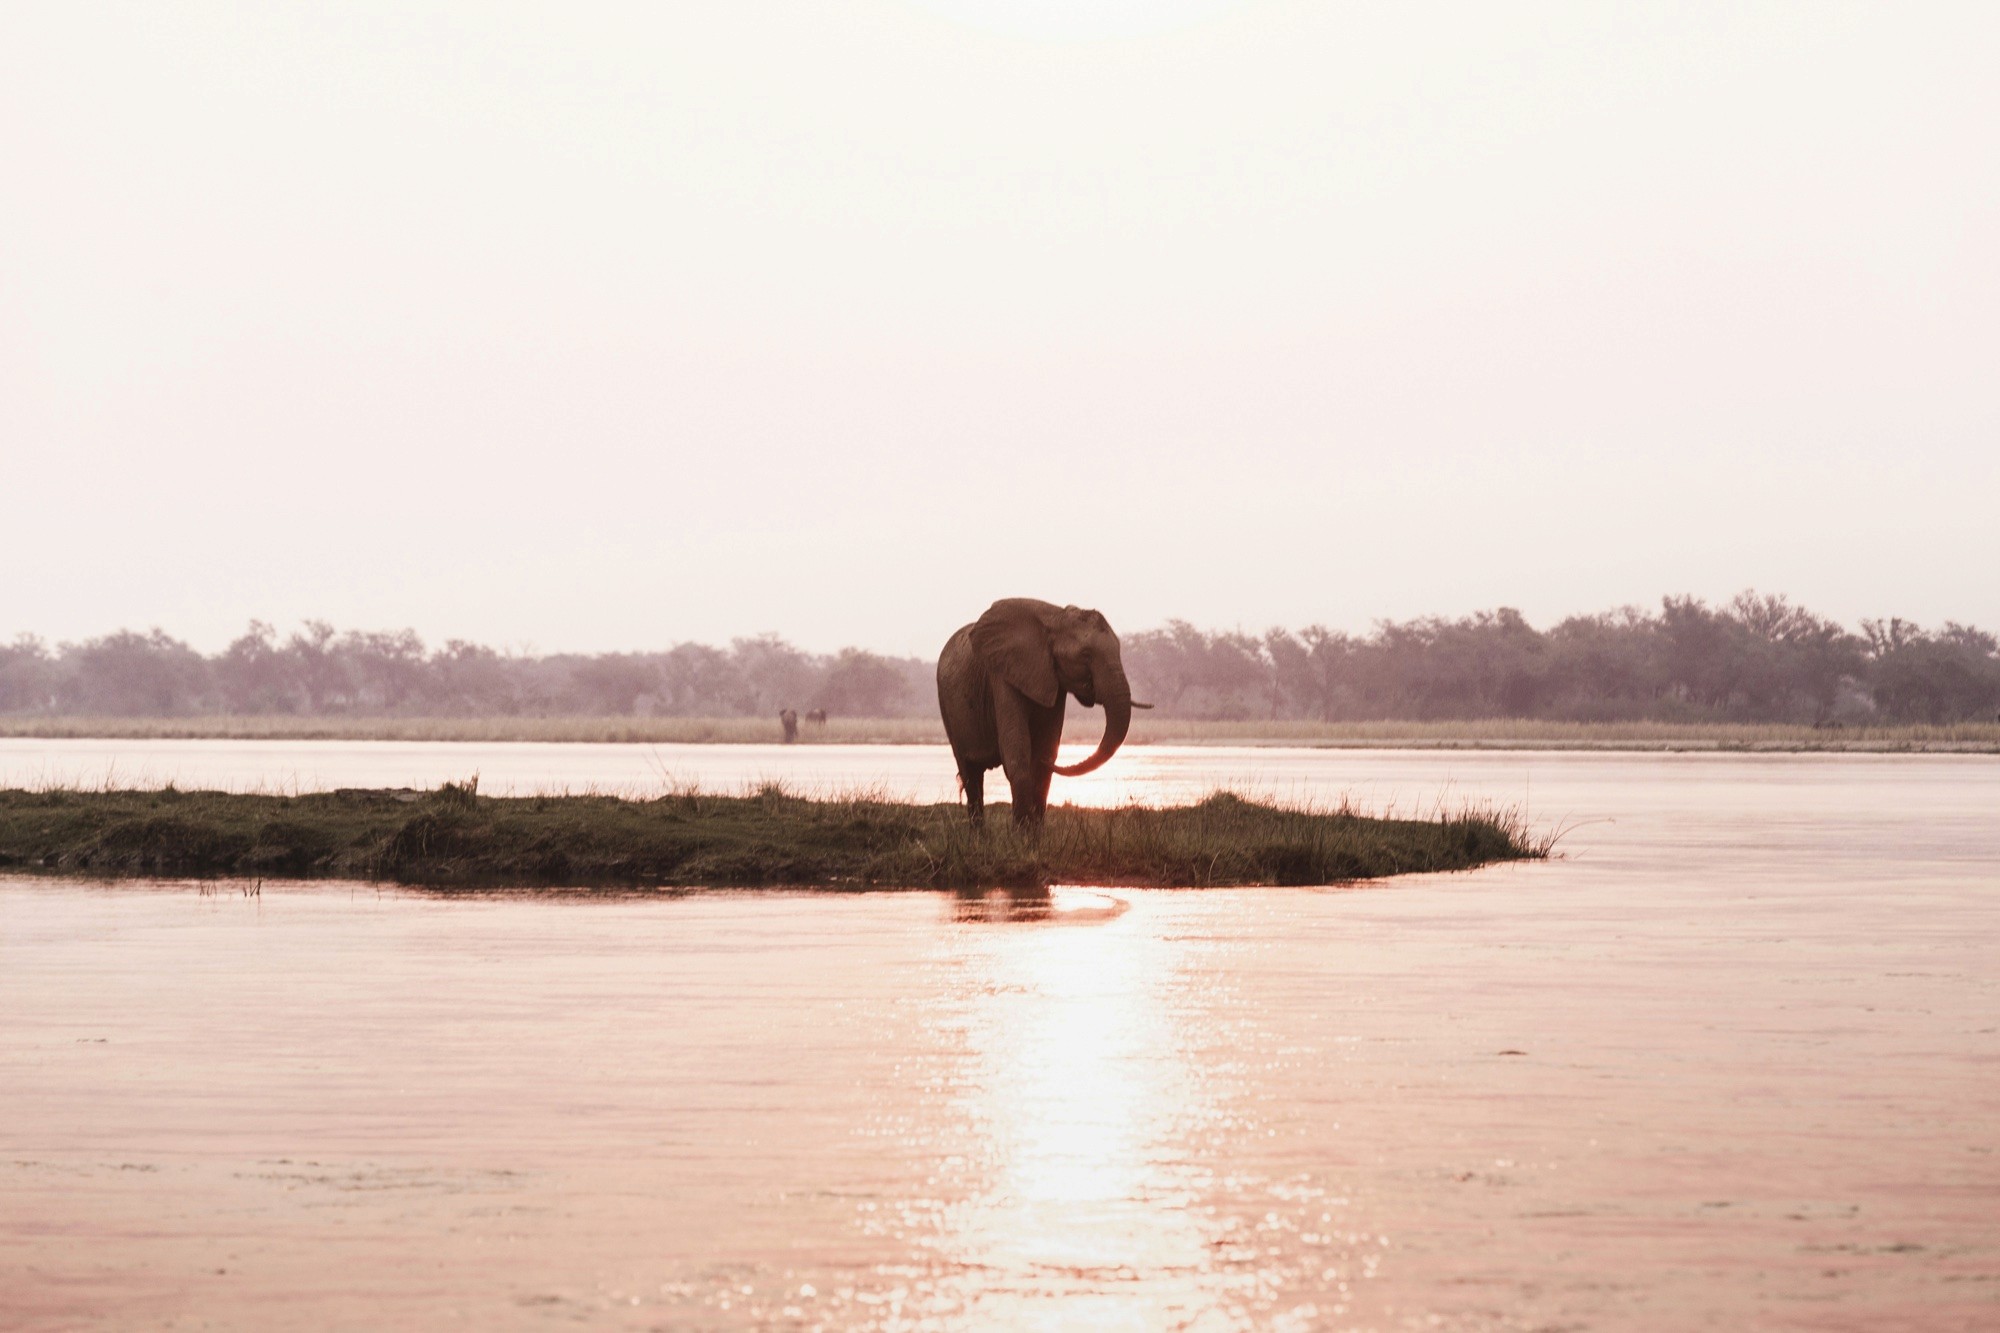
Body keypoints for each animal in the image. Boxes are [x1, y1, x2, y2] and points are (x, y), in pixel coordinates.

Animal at [936, 598, 1151, 827]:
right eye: (1085, 655)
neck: (1055, 618)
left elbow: (1046, 749)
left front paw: (1034, 835)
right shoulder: (1002, 675)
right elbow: (1016, 748)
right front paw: (1021, 834)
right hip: (947, 706)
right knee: (970, 774)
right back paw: (979, 835)